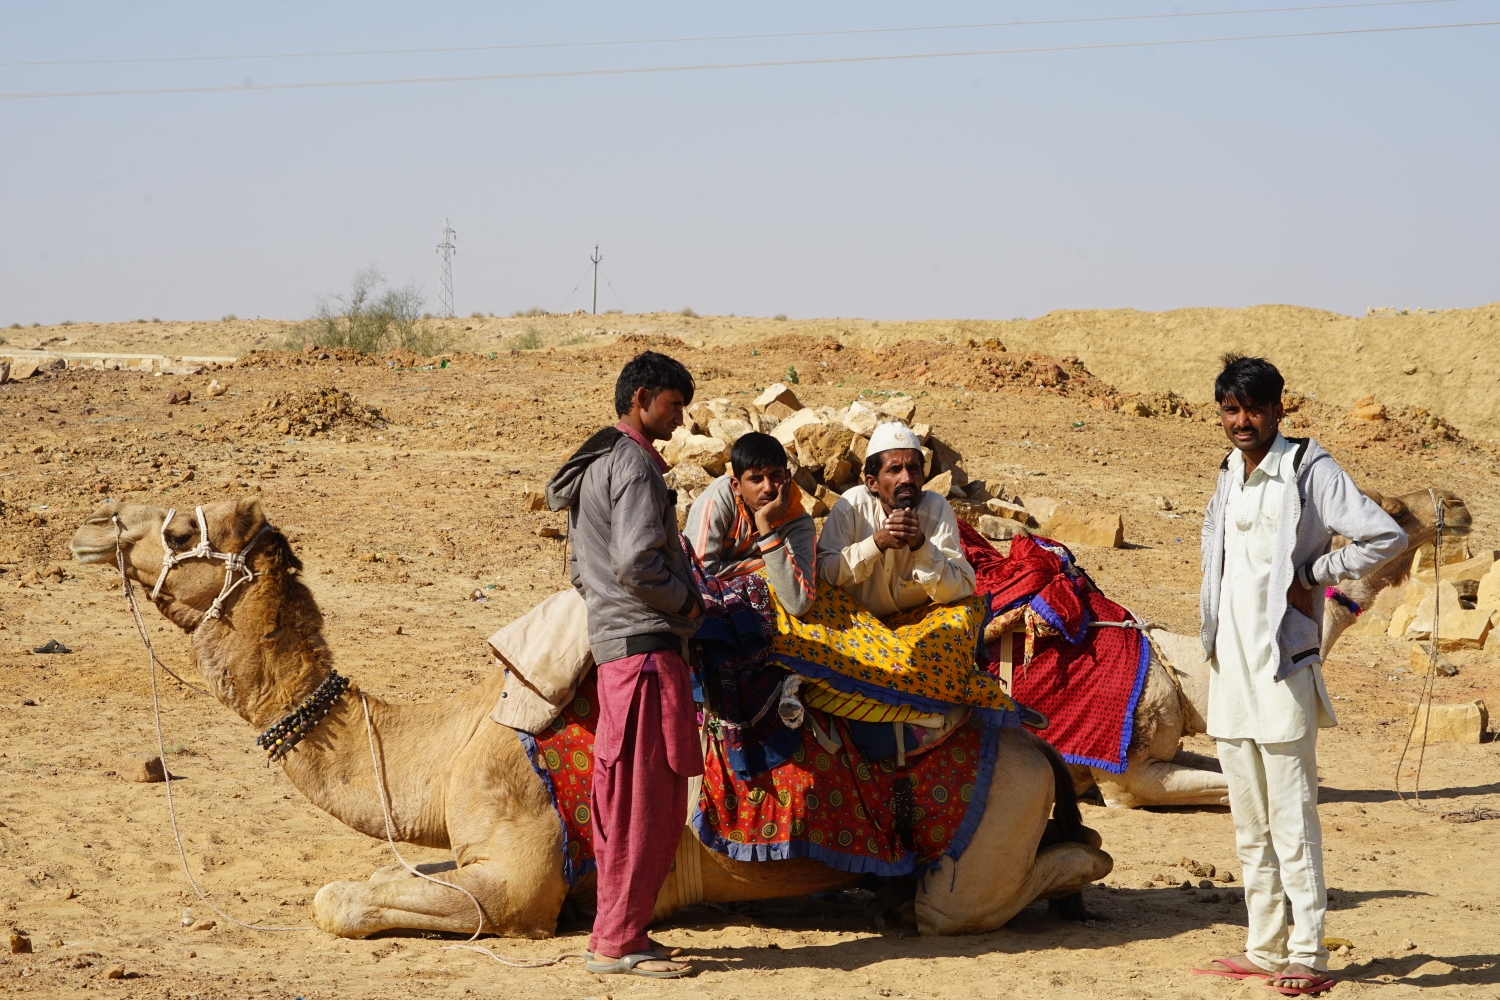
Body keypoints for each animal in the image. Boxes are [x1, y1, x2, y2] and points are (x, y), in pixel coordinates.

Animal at [70, 500, 1116, 947]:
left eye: (179, 531)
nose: (93, 530)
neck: (449, 738)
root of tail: (1034, 739)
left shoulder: (519, 879)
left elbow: (343, 901)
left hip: (985, 838)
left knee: (1015, 882)